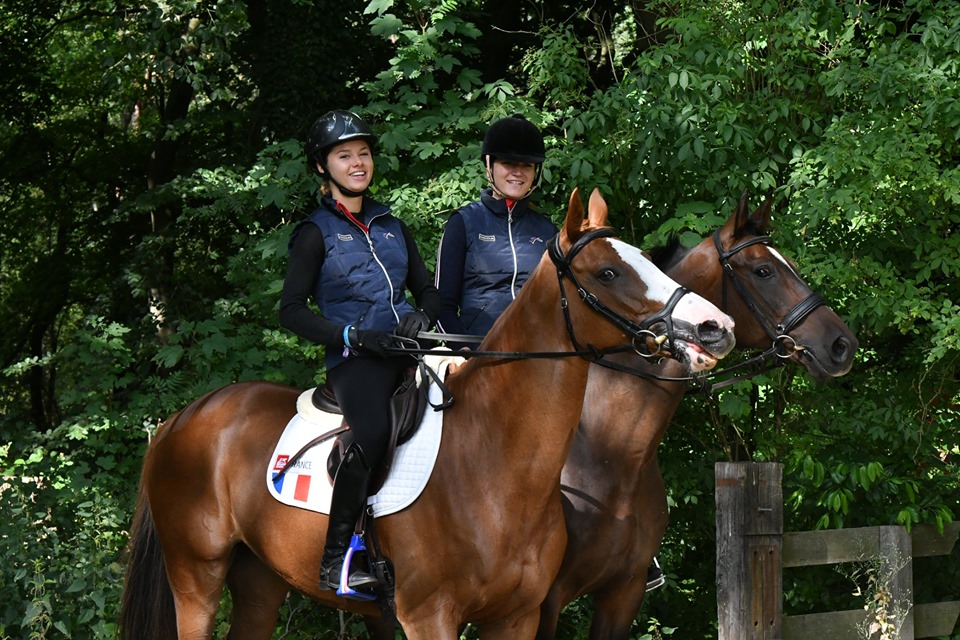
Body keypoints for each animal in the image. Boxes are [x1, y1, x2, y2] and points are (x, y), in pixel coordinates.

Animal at [120, 189, 736, 640]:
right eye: (608, 273)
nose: (716, 328)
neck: (494, 464)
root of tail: (181, 419)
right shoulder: (429, 617)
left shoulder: (516, 617)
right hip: (196, 576)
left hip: (259, 579)